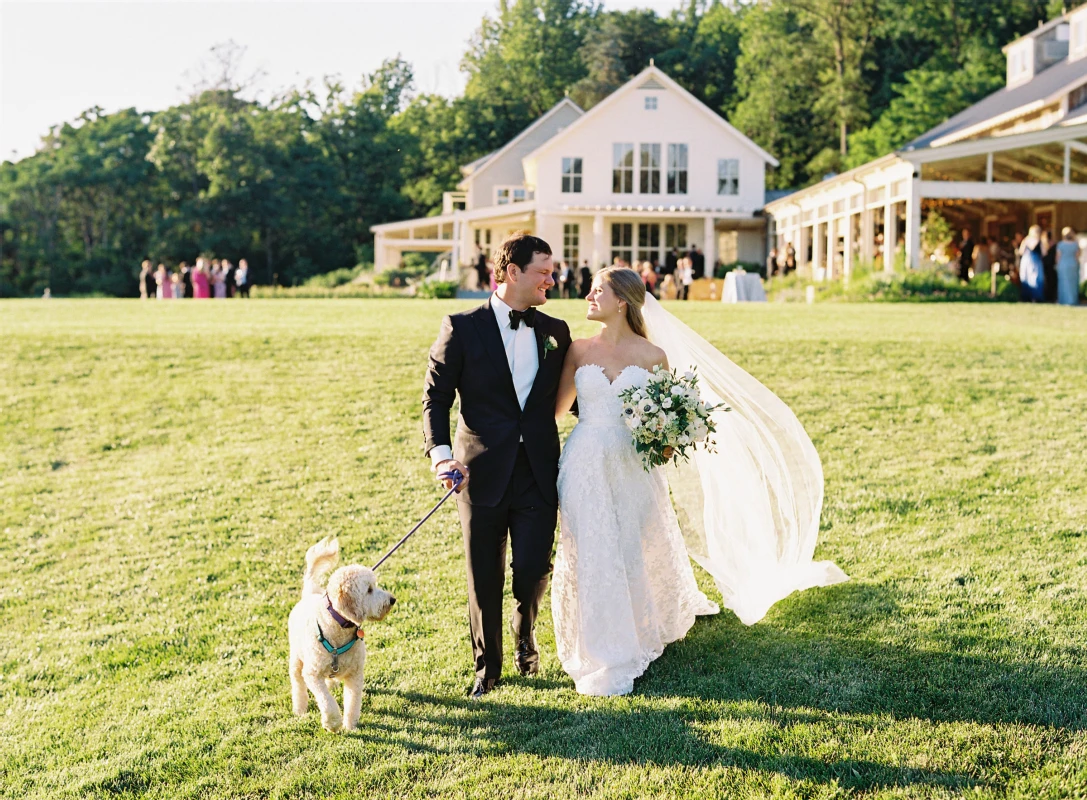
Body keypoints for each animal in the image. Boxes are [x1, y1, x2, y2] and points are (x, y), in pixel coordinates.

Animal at [289, 536, 395, 730]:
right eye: (369, 590)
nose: (392, 600)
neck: (338, 628)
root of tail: (309, 593)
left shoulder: (355, 673)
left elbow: (353, 701)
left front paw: (350, 724)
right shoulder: (312, 674)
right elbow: (326, 701)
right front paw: (332, 723)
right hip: (296, 659)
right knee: (298, 683)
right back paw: (300, 708)